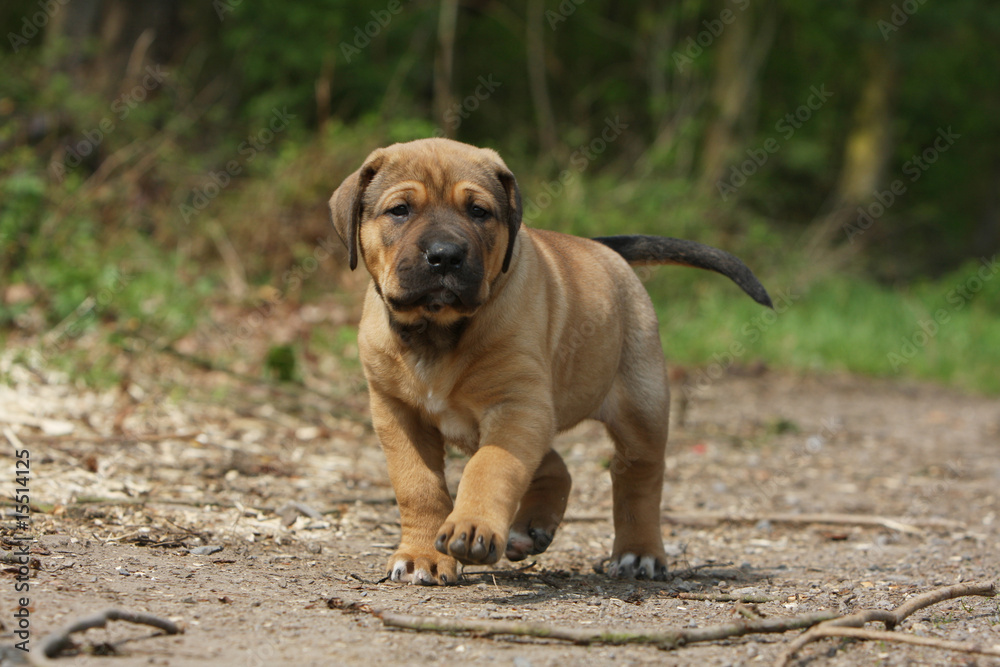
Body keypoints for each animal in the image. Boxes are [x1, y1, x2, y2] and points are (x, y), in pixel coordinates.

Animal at [332, 140, 768, 584]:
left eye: (479, 212)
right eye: (400, 210)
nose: (446, 255)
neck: (438, 331)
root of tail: (605, 250)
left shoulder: (517, 404)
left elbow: (491, 468)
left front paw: (472, 528)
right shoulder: (397, 413)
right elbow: (417, 485)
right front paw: (422, 556)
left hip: (639, 406)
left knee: (638, 478)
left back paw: (639, 553)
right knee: (555, 464)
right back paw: (530, 528)